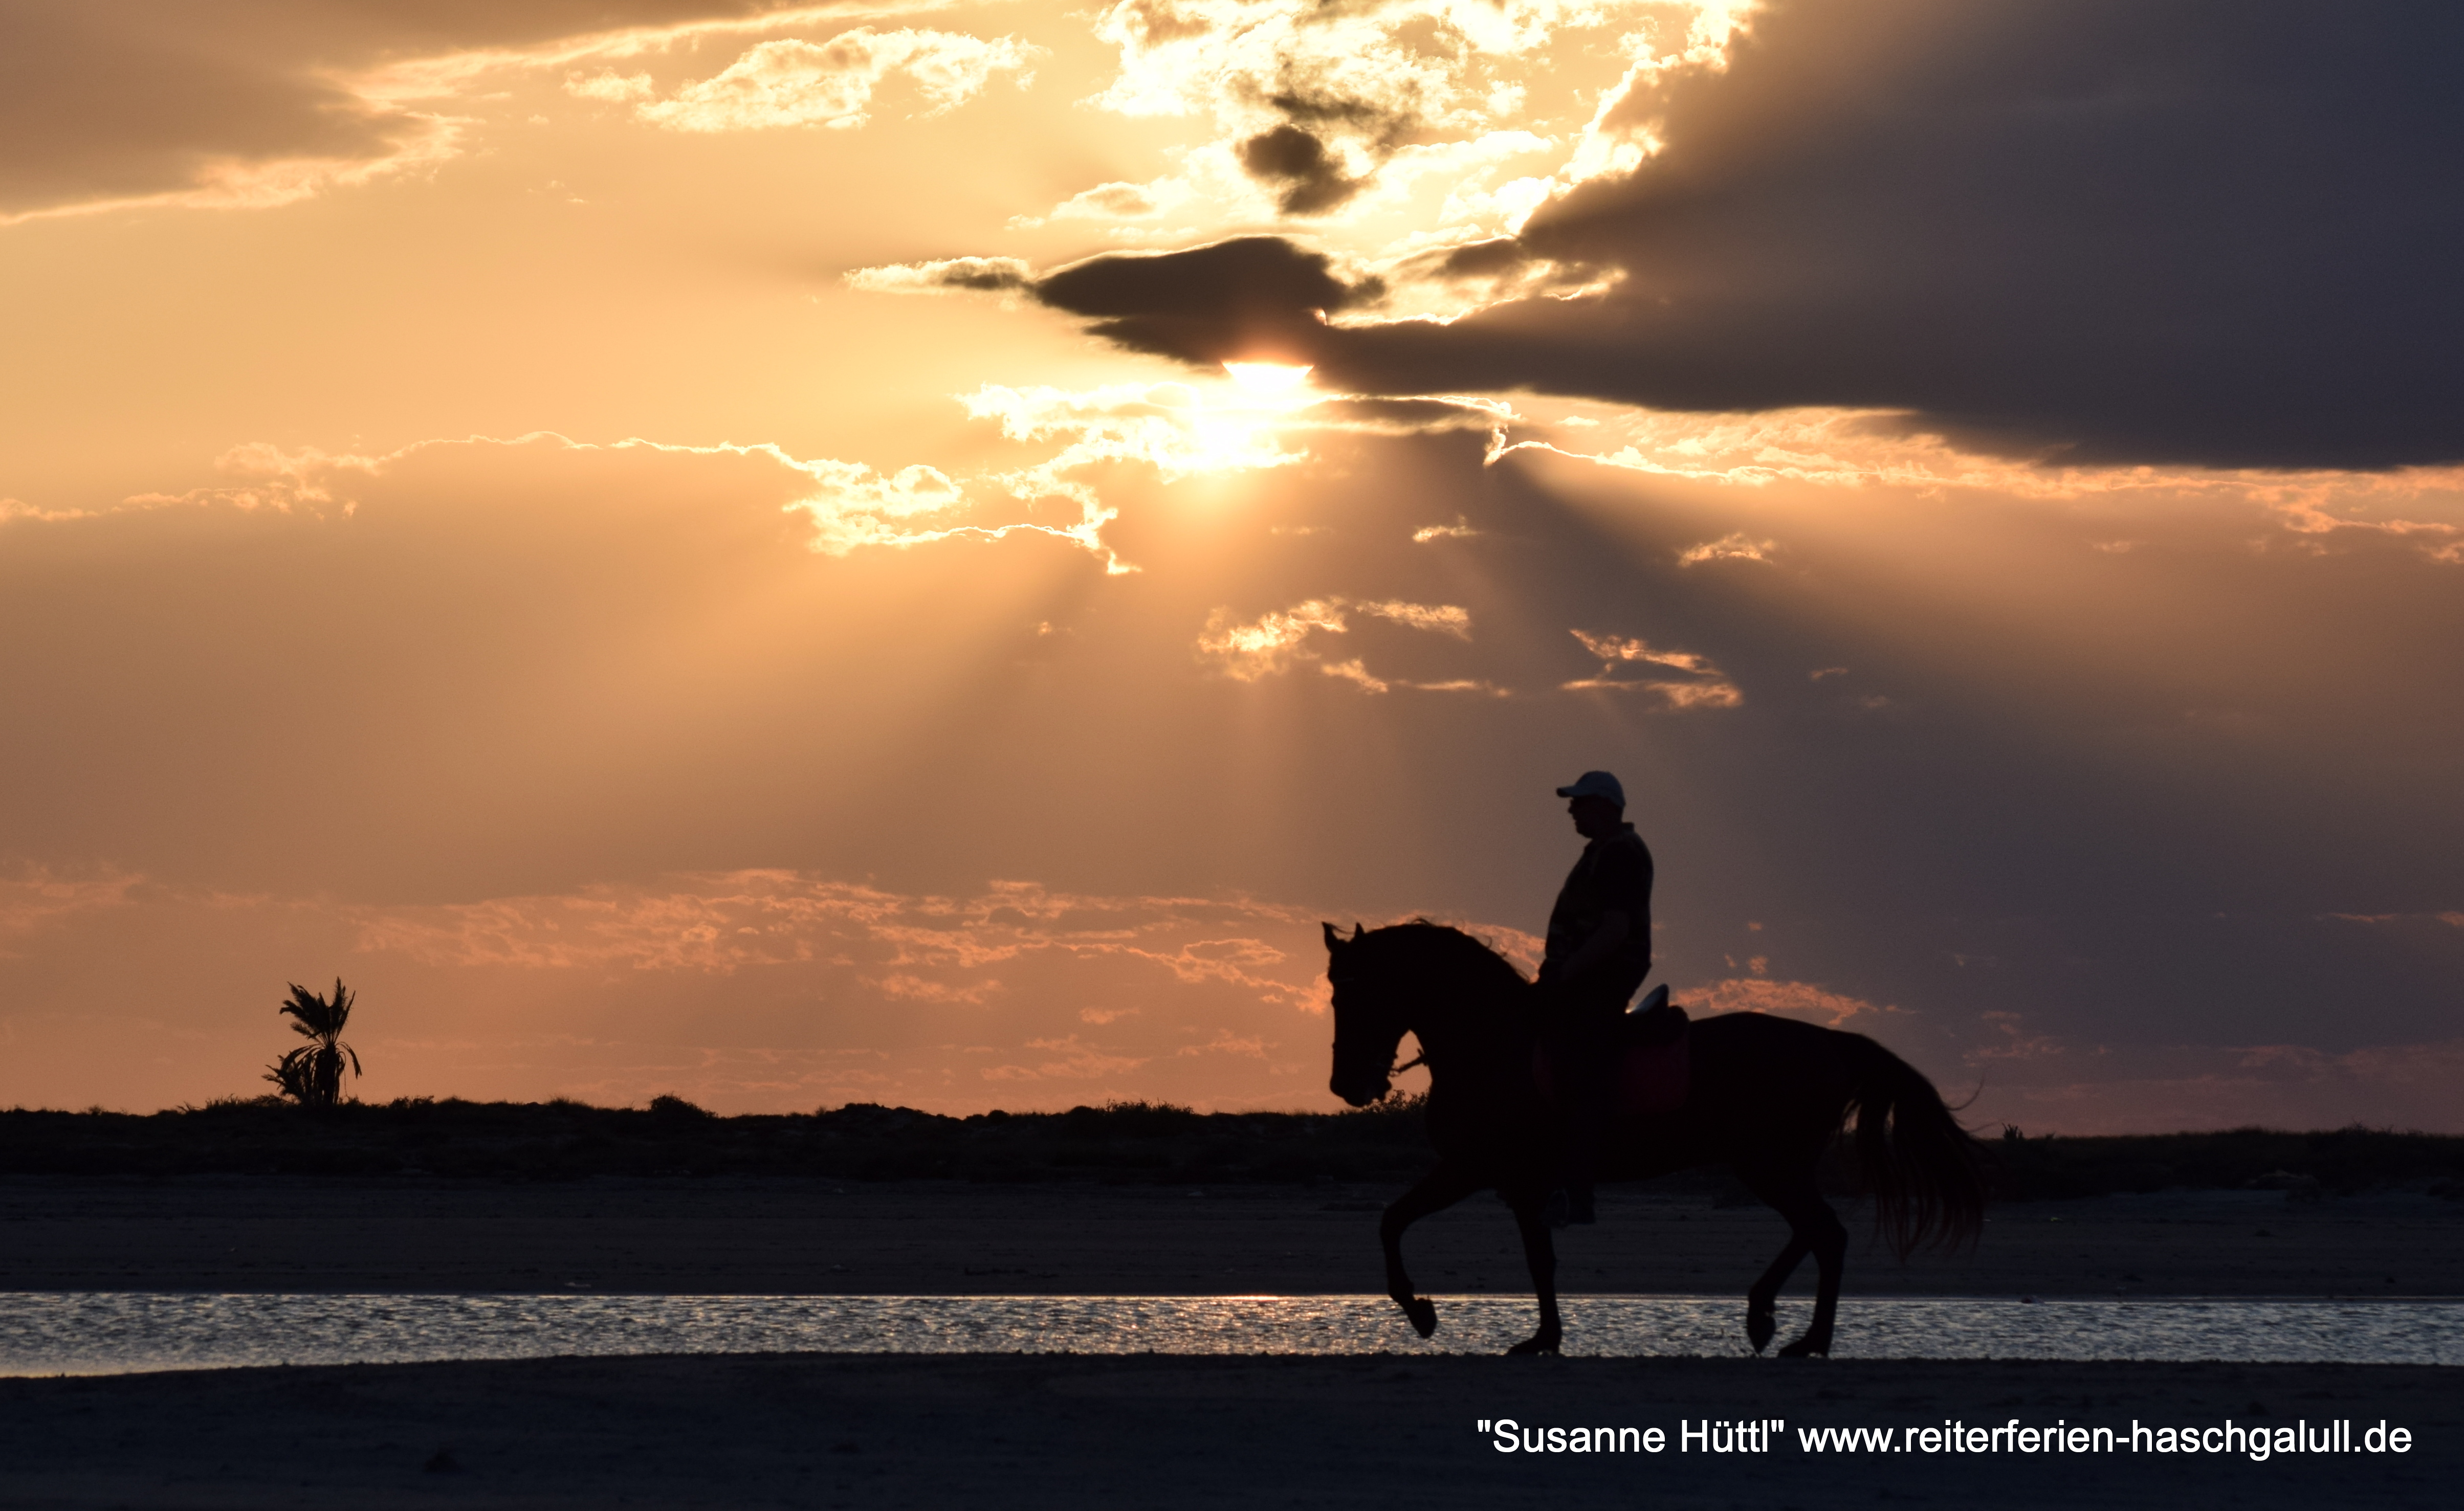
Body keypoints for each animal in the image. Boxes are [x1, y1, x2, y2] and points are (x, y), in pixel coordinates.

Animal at [1323, 920, 1987, 1357]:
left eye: (1356, 990)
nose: (1346, 1085)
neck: (1491, 1042)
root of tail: (1830, 1041)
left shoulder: (1475, 1168)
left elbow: (1396, 1220)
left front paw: (1420, 1310)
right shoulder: (1514, 1182)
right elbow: (1533, 1257)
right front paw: (1542, 1335)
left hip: (1769, 1164)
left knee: (1826, 1233)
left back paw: (1808, 1338)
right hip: (1775, 1164)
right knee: (1814, 1230)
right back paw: (1764, 1314)